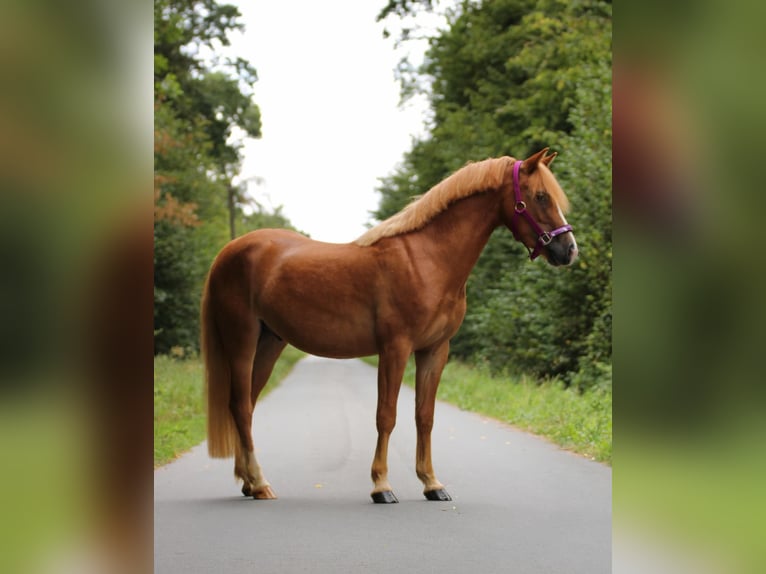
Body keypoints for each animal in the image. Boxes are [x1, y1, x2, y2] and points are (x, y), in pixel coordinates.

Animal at [201, 148, 578, 503]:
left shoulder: (434, 350)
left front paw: (432, 484)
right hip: (242, 341)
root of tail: (228, 252)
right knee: (241, 407)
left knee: (246, 405)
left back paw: (249, 483)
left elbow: (424, 416)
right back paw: (260, 483)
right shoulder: (395, 348)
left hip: (269, 343)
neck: (428, 259)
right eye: (540, 196)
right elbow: (387, 415)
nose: (568, 250)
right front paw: (381, 486)